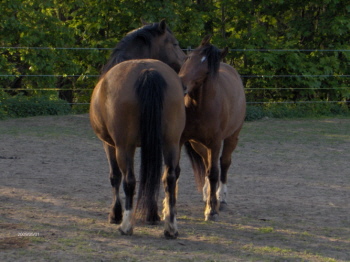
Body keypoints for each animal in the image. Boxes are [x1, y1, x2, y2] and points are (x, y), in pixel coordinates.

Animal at [89, 58, 186, 237]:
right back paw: (170, 227)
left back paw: (126, 226)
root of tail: (147, 71)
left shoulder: (109, 145)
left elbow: (115, 176)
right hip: (171, 143)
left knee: (129, 180)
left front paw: (115, 214)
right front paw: (153, 215)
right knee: (169, 178)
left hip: (124, 147)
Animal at [179, 35, 245, 221]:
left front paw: (212, 210)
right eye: (188, 58)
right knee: (206, 163)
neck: (199, 107)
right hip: (198, 144)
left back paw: (221, 198)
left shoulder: (215, 143)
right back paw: (208, 193)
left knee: (224, 163)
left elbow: (214, 172)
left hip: (231, 138)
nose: (181, 84)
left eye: (207, 69)